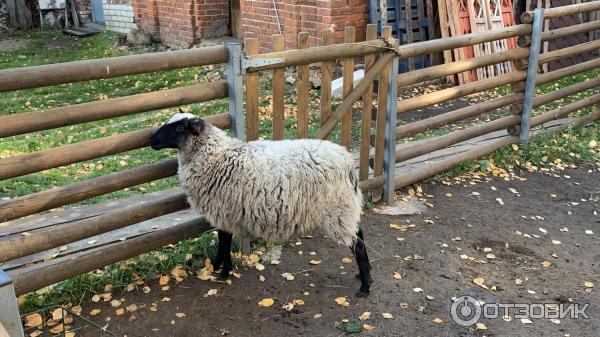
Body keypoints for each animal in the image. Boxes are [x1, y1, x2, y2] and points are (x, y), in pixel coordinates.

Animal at [151, 111, 370, 296]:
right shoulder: (223, 210)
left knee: (357, 244)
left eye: (180, 127)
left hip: (337, 209)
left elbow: (225, 239)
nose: (152, 140)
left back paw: (365, 286)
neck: (216, 155)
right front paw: (216, 264)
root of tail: (348, 163)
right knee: (359, 234)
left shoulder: (224, 209)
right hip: (344, 208)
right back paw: (363, 274)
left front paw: (224, 271)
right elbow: (222, 238)